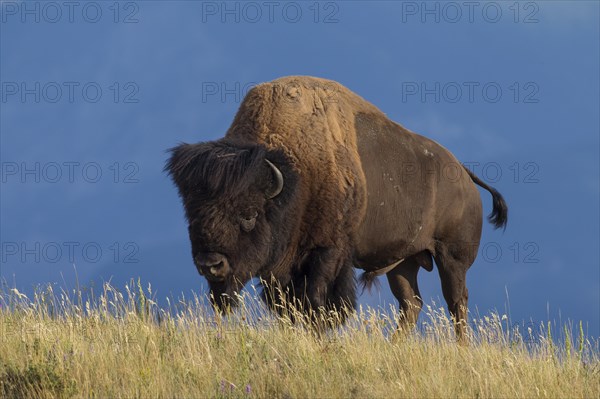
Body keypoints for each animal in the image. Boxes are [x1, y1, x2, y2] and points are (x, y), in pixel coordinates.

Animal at [166, 76, 508, 340]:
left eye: (248, 216)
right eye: (192, 215)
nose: (210, 264)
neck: (296, 173)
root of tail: (463, 173)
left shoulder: (327, 252)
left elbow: (317, 300)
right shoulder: (280, 268)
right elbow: (286, 306)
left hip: (452, 258)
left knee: (456, 303)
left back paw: (460, 347)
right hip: (403, 262)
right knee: (411, 304)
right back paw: (393, 345)